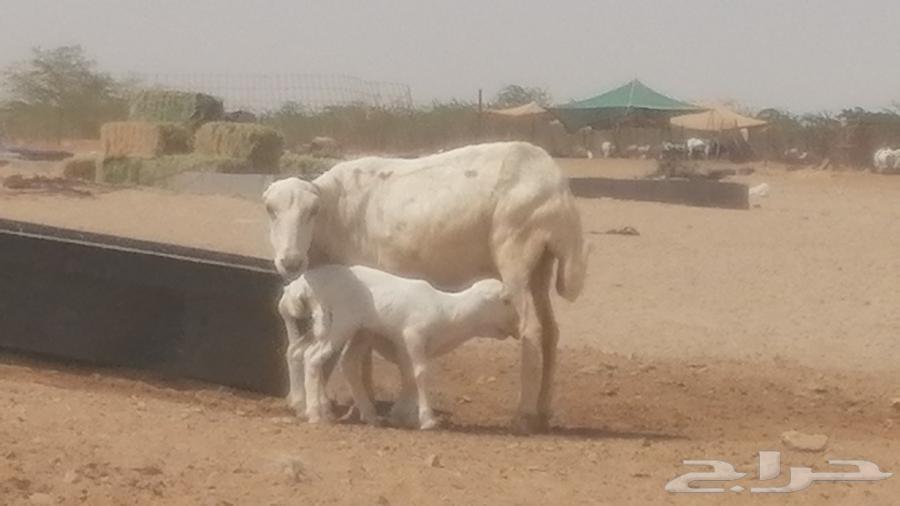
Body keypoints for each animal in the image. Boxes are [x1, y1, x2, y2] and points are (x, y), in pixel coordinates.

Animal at [279, 264, 518, 429]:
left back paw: (365, 414)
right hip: (341, 323)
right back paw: (315, 413)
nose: (516, 328)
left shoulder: (404, 346)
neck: (448, 312)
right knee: (313, 357)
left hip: (356, 331)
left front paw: (401, 414)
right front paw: (427, 419)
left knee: (316, 355)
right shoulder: (413, 336)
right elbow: (420, 374)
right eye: (506, 300)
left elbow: (409, 376)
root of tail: (300, 286)